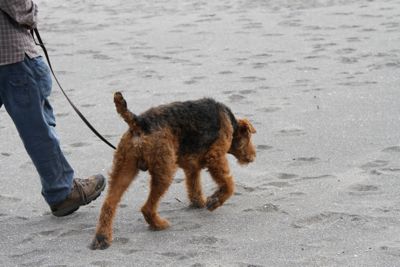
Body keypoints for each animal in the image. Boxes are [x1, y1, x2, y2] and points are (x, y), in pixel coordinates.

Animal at [90, 92, 256, 251]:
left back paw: (102, 239)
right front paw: (214, 202)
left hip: (125, 168)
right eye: (248, 137)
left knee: (109, 204)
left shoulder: (192, 166)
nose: (254, 156)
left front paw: (199, 202)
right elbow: (228, 185)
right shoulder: (215, 157)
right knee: (147, 208)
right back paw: (159, 224)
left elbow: (194, 186)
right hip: (165, 171)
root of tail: (139, 123)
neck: (230, 123)